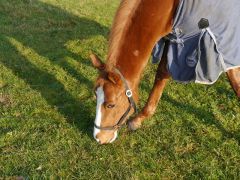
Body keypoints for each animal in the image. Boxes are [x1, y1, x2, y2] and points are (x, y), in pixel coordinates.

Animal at [90, 0, 240, 143]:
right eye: (96, 96)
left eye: (111, 105)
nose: (98, 138)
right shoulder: (171, 41)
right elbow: (161, 74)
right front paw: (139, 119)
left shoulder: (223, 44)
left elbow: (235, 82)